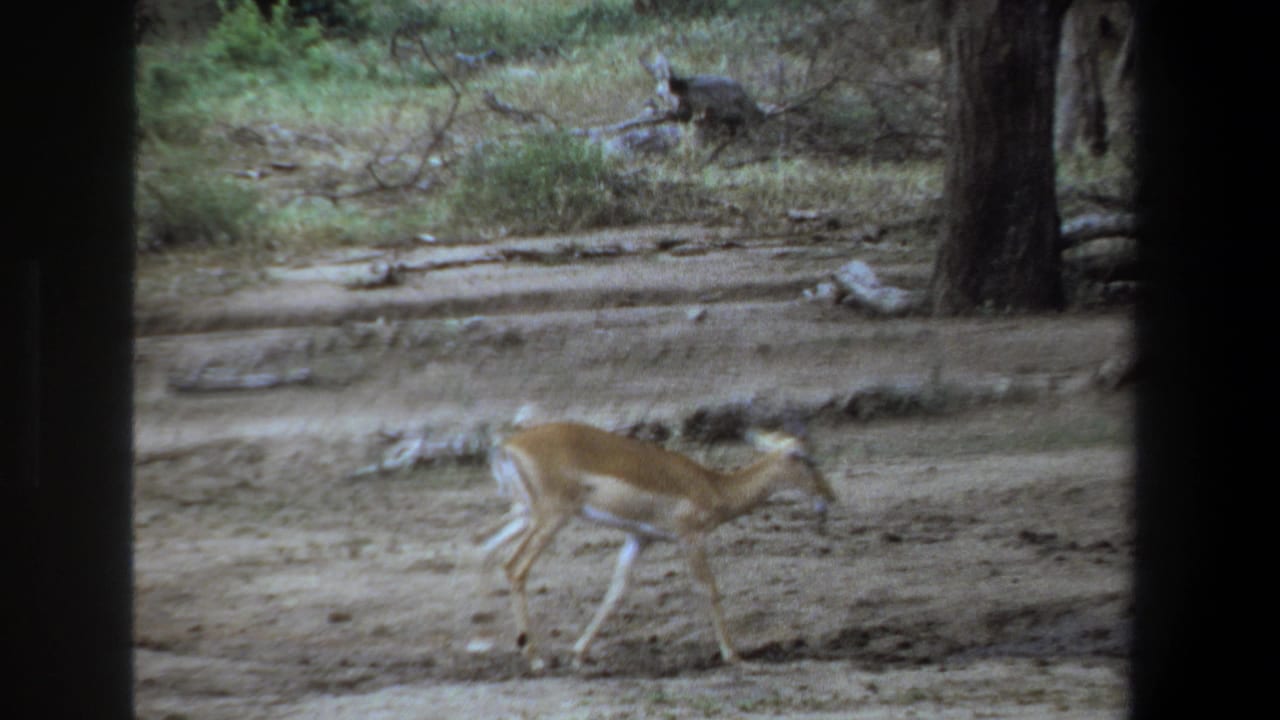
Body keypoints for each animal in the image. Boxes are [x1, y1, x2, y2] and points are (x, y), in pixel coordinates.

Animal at [478, 421, 837, 671]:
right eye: (806, 458)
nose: (829, 497)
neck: (714, 487)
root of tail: (508, 446)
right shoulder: (690, 539)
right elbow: (709, 588)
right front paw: (734, 655)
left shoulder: (640, 539)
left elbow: (617, 592)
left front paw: (579, 654)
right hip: (550, 518)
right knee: (514, 568)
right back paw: (535, 658)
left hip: (525, 514)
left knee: (485, 549)